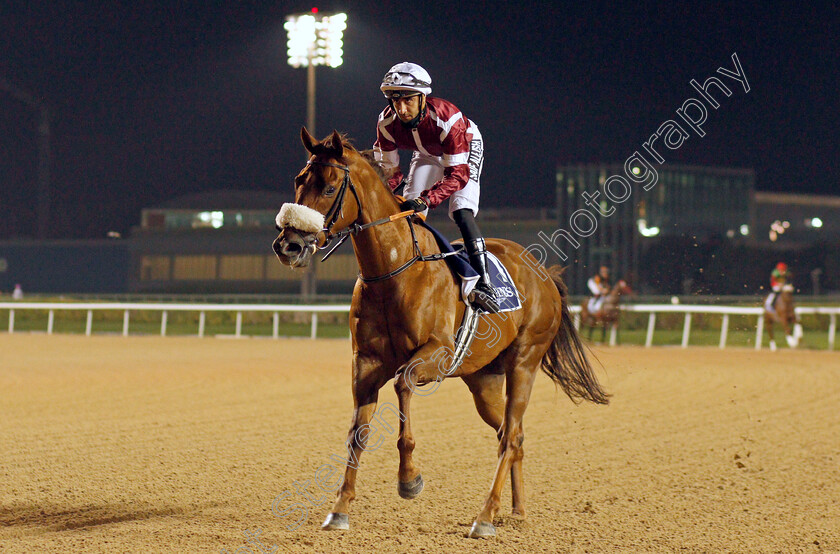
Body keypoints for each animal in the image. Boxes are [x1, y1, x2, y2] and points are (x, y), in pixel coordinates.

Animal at [272, 128, 608, 536]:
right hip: (484, 379)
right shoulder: (365, 362)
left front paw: (409, 479)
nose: (288, 245)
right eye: (299, 181)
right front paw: (339, 508)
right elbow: (357, 432)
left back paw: (484, 516)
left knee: (511, 435)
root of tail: (545, 274)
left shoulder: (437, 352)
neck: (394, 270)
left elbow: (402, 385)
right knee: (511, 435)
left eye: (330, 186)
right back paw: (516, 510)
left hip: (524, 362)